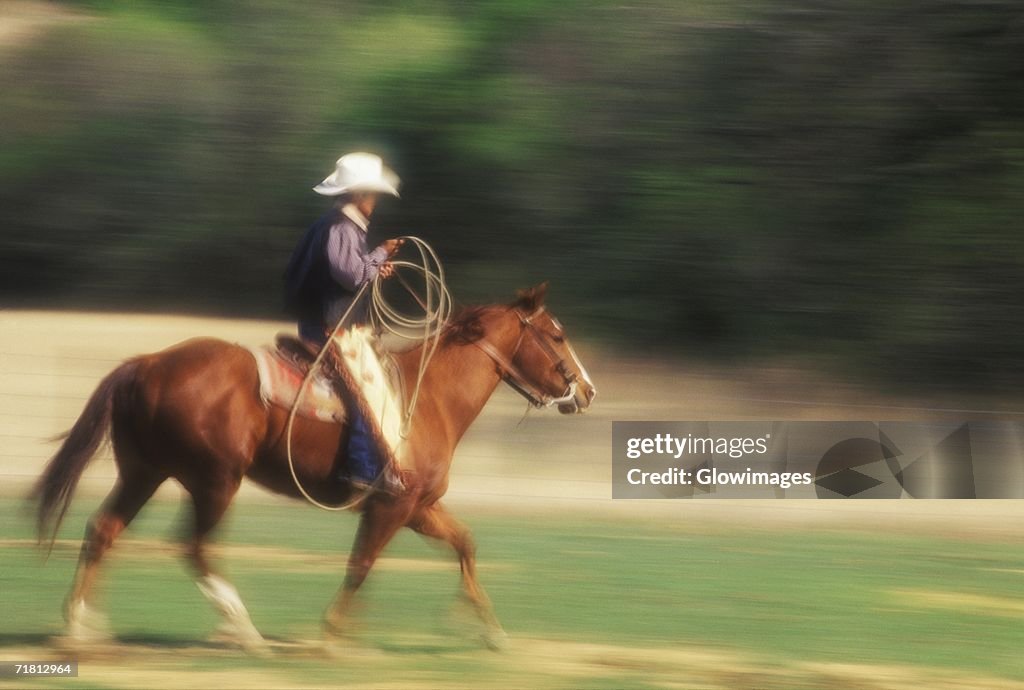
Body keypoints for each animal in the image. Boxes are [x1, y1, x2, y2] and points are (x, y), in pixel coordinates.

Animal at [34, 282, 593, 647]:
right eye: (557, 335)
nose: (586, 390)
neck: (429, 397)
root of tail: (146, 364)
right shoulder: (392, 506)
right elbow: (361, 564)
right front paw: (331, 632)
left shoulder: (418, 507)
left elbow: (465, 543)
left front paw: (488, 629)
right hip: (215, 480)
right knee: (195, 545)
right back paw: (242, 629)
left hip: (145, 472)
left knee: (104, 529)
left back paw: (81, 625)